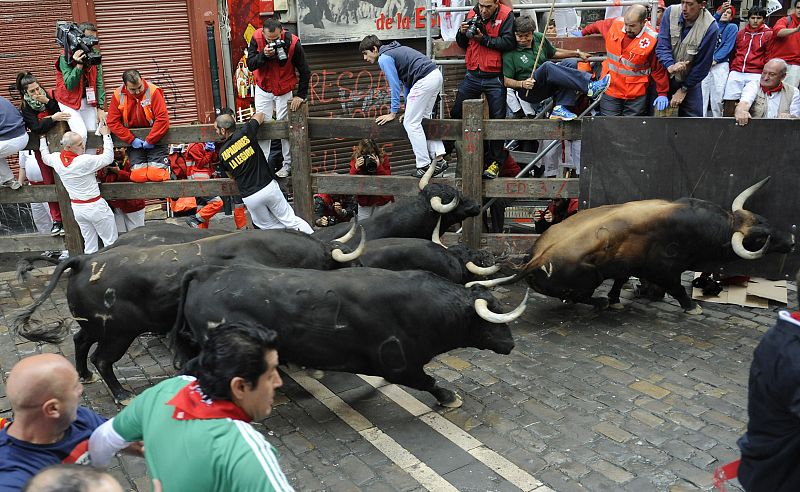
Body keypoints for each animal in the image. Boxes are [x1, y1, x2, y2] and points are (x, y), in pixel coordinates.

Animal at [11, 229, 362, 402]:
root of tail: (83, 259)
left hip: (97, 328)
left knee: (80, 341)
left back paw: (84, 375)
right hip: (119, 334)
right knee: (103, 359)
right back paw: (121, 394)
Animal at [173, 266, 524, 408]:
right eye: (492, 322)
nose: (510, 344)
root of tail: (206, 272)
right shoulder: (400, 364)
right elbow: (427, 381)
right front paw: (449, 397)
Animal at [476, 179, 792, 314]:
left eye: (764, 220)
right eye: (756, 239)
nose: (790, 240)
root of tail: (534, 259)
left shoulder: (625, 264)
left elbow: (620, 279)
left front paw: (616, 298)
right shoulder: (666, 270)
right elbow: (677, 289)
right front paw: (693, 307)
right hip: (589, 278)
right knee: (581, 296)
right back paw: (599, 302)